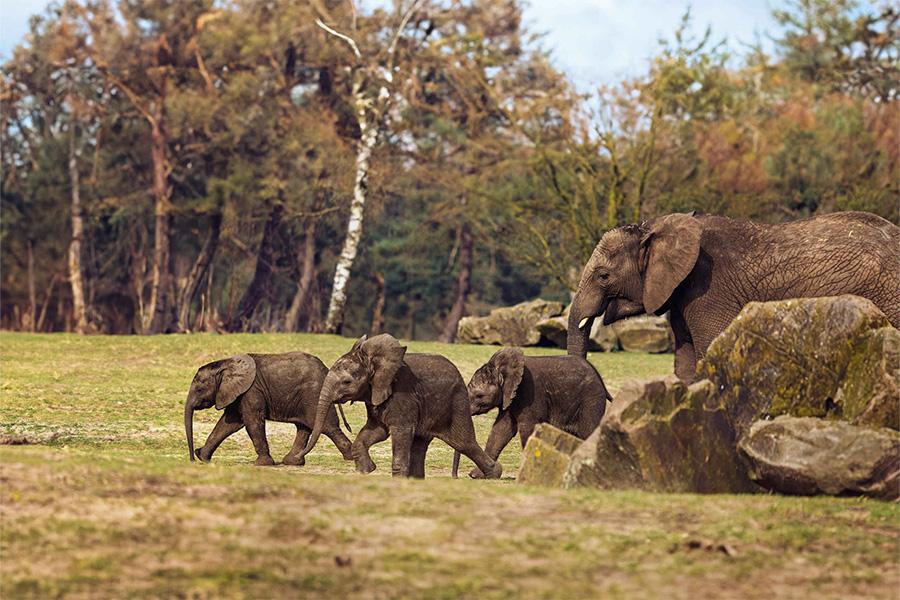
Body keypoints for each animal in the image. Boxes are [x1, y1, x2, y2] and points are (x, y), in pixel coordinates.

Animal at [185, 352, 354, 468]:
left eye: (199, 390)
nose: (191, 459)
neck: (226, 363)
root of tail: (327, 370)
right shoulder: (239, 393)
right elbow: (228, 424)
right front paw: (203, 457)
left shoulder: (251, 391)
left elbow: (252, 422)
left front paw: (262, 464)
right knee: (304, 427)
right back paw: (292, 462)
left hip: (314, 395)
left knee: (328, 427)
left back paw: (351, 457)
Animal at [294, 336, 500, 480]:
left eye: (346, 382)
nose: (298, 458)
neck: (374, 361)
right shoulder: (375, 396)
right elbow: (376, 431)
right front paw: (366, 471)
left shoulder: (402, 395)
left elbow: (400, 432)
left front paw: (396, 479)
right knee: (421, 443)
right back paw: (417, 480)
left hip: (456, 403)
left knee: (463, 442)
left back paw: (494, 474)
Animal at [454, 346, 608, 478]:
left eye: (479, 395)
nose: (455, 477)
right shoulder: (510, 395)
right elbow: (501, 430)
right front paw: (478, 475)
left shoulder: (530, 392)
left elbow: (527, 427)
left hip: (591, 399)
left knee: (589, 431)